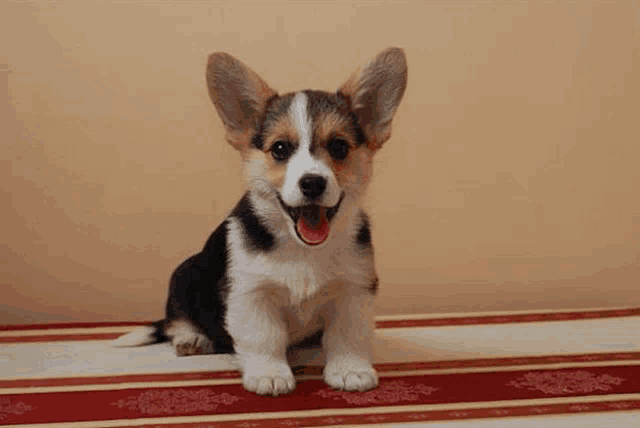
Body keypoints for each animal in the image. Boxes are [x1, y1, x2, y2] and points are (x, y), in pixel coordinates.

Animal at [112, 46, 408, 394]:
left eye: (338, 147)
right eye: (280, 148)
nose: (312, 183)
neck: (302, 249)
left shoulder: (354, 288)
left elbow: (348, 335)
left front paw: (350, 369)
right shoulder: (251, 293)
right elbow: (264, 337)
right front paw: (270, 374)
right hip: (185, 274)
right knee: (175, 320)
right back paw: (192, 337)